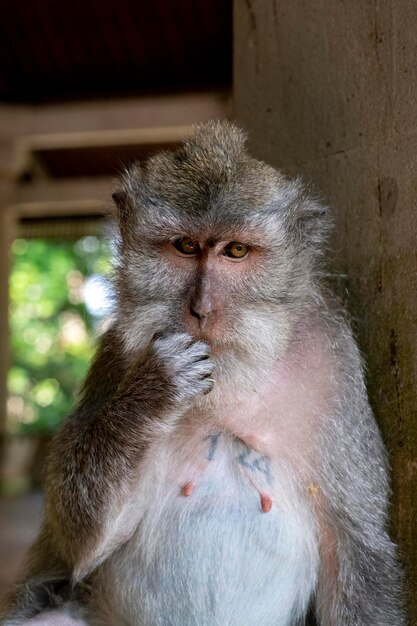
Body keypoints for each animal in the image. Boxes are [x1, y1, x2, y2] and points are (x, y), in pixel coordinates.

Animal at [0, 119, 404, 620]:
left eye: (236, 251)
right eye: (186, 246)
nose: (201, 310)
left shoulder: (333, 363)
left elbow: (357, 545)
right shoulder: (117, 355)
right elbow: (82, 542)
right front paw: (153, 391)